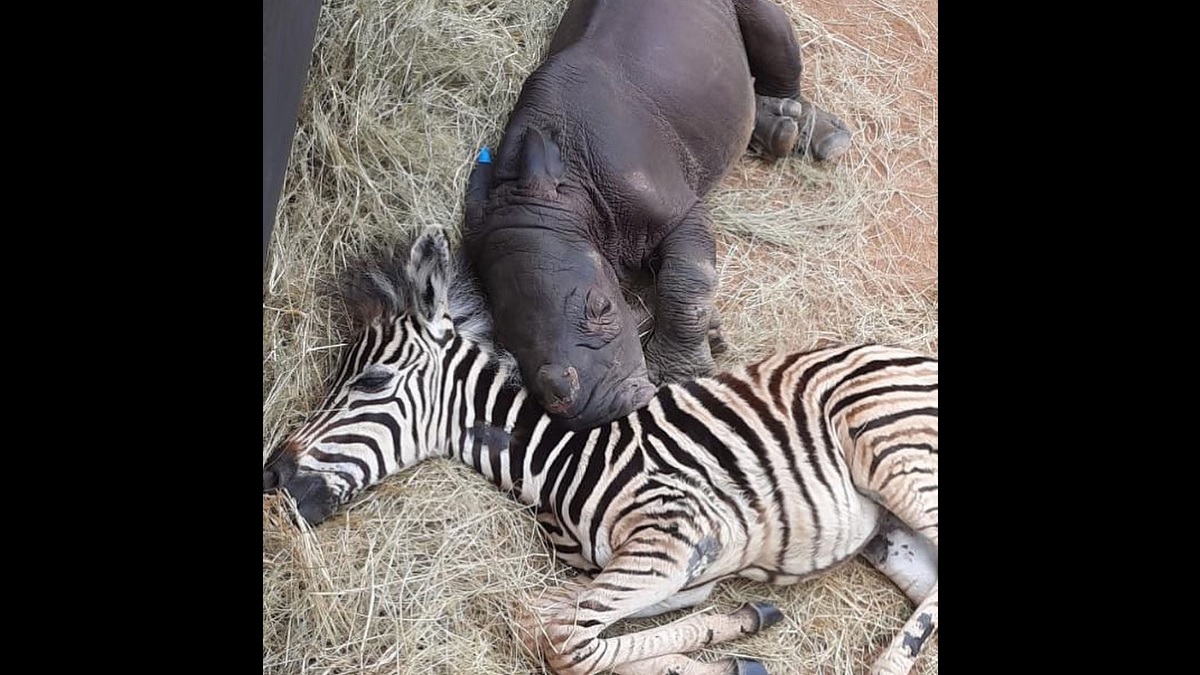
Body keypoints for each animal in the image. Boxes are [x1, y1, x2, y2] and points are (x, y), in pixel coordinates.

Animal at [262, 228, 936, 667]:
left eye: (372, 382)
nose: (271, 477)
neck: (558, 463)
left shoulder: (677, 536)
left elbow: (567, 644)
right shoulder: (655, 572)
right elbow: (544, 620)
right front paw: (735, 632)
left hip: (895, 452)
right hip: (890, 535)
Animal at [463, 0, 849, 427]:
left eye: (602, 307)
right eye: (506, 344)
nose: (596, 410)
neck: (567, 196)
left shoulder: (679, 213)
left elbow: (685, 285)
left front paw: (680, 375)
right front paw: (711, 335)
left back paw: (813, 135)